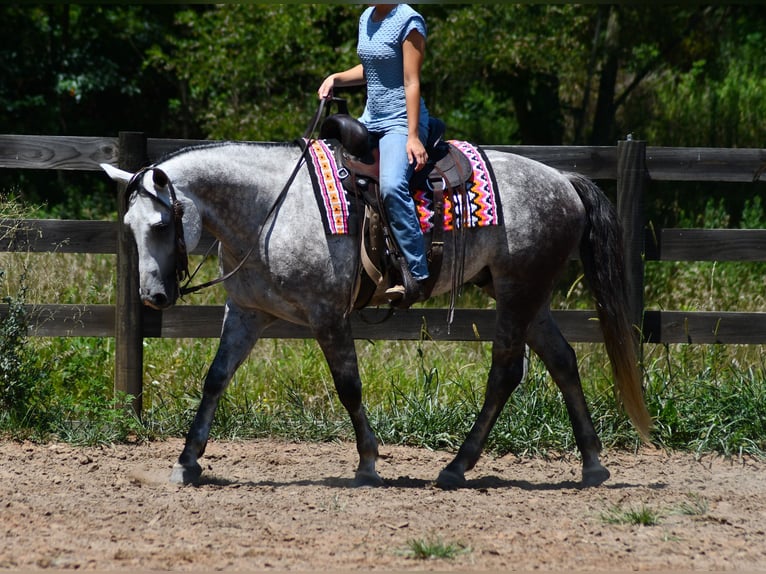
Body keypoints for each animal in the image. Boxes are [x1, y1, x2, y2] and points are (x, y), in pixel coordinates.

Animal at [101, 139, 651, 489]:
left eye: (160, 223)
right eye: (127, 227)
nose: (153, 296)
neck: (268, 210)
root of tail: (564, 179)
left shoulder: (327, 315)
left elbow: (348, 386)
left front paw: (367, 463)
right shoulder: (247, 313)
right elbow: (215, 379)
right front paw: (186, 462)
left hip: (519, 292)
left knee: (505, 373)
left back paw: (457, 467)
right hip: (525, 295)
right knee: (562, 362)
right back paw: (592, 464)